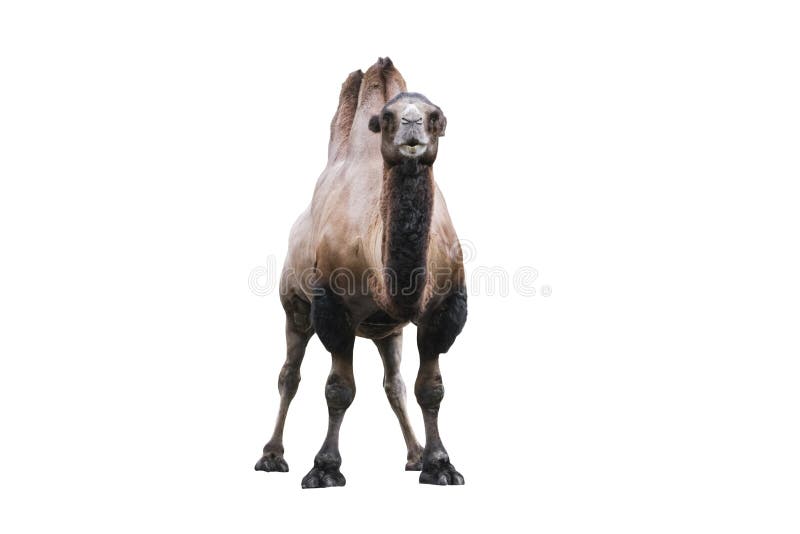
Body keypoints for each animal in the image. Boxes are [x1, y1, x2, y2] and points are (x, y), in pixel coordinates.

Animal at [254, 58, 467, 487]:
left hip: (386, 331)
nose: (412, 125)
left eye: (435, 116)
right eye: (386, 118)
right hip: (295, 306)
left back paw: (414, 454)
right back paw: (271, 457)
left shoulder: (443, 311)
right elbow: (338, 389)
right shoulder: (332, 309)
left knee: (394, 383)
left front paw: (439, 464)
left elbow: (430, 389)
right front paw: (324, 469)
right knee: (289, 376)